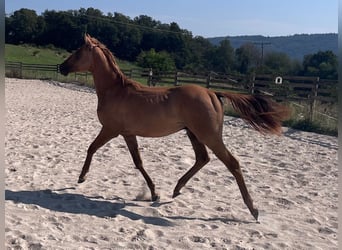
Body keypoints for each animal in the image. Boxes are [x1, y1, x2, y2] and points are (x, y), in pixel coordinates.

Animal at [60, 33, 288, 221]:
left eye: (77, 52)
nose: (61, 68)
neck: (116, 91)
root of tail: (213, 93)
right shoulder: (128, 134)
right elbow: (138, 162)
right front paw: (154, 193)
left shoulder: (110, 130)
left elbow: (91, 148)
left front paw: (82, 177)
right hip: (194, 133)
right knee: (202, 158)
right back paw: (177, 188)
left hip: (209, 135)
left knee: (232, 163)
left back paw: (253, 210)